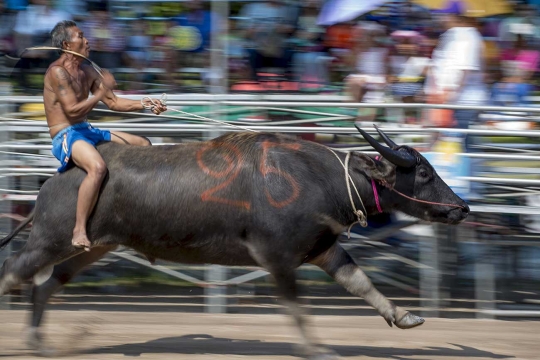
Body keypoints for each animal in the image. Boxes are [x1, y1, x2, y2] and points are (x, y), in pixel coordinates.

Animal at [0, 126, 468, 358]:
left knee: (46, 285)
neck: (317, 178)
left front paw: (405, 317)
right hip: (49, 240)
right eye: (423, 172)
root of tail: (54, 178)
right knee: (12, 272)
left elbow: (361, 283)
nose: (461, 208)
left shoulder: (322, 249)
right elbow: (298, 309)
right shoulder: (278, 258)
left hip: (92, 246)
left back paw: (40, 343)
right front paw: (316, 349)